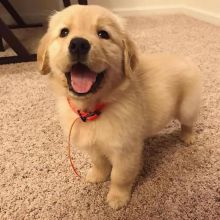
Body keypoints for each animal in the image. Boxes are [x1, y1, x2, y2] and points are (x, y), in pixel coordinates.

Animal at [37, 4, 201, 209]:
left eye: (103, 34)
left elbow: (119, 176)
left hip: (187, 106)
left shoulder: (125, 151)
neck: (93, 110)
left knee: (187, 123)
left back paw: (188, 137)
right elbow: (99, 162)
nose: (79, 44)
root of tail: (184, 59)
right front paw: (98, 176)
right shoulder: (93, 147)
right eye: (64, 32)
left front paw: (117, 197)